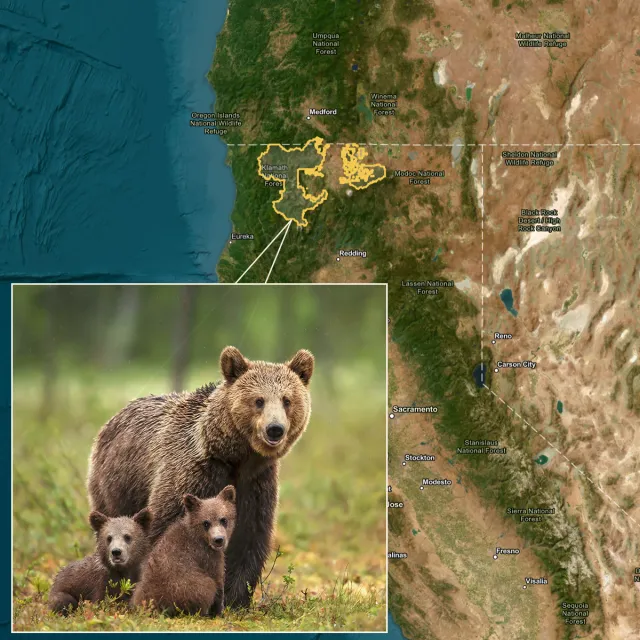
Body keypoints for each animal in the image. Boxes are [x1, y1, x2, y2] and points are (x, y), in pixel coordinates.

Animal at [132, 486, 236, 616]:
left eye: (223, 519)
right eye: (206, 523)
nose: (218, 540)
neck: (201, 538)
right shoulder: (208, 558)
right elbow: (218, 583)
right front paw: (219, 612)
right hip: (188, 586)